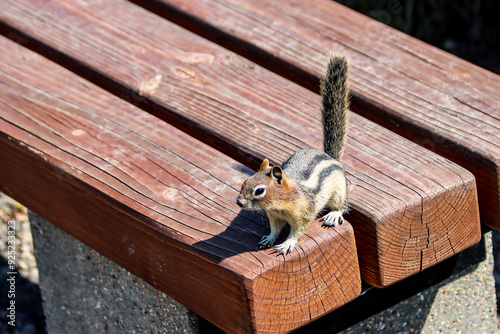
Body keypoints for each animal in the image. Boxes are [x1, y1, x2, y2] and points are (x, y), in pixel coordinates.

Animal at [237, 54, 348, 254]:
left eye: (259, 190)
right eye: (245, 182)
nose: (239, 203)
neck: (281, 203)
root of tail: (330, 157)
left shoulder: (303, 215)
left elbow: (298, 231)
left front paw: (287, 243)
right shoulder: (273, 216)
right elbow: (274, 229)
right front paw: (269, 238)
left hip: (339, 191)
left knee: (341, 204)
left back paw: (334, 215)